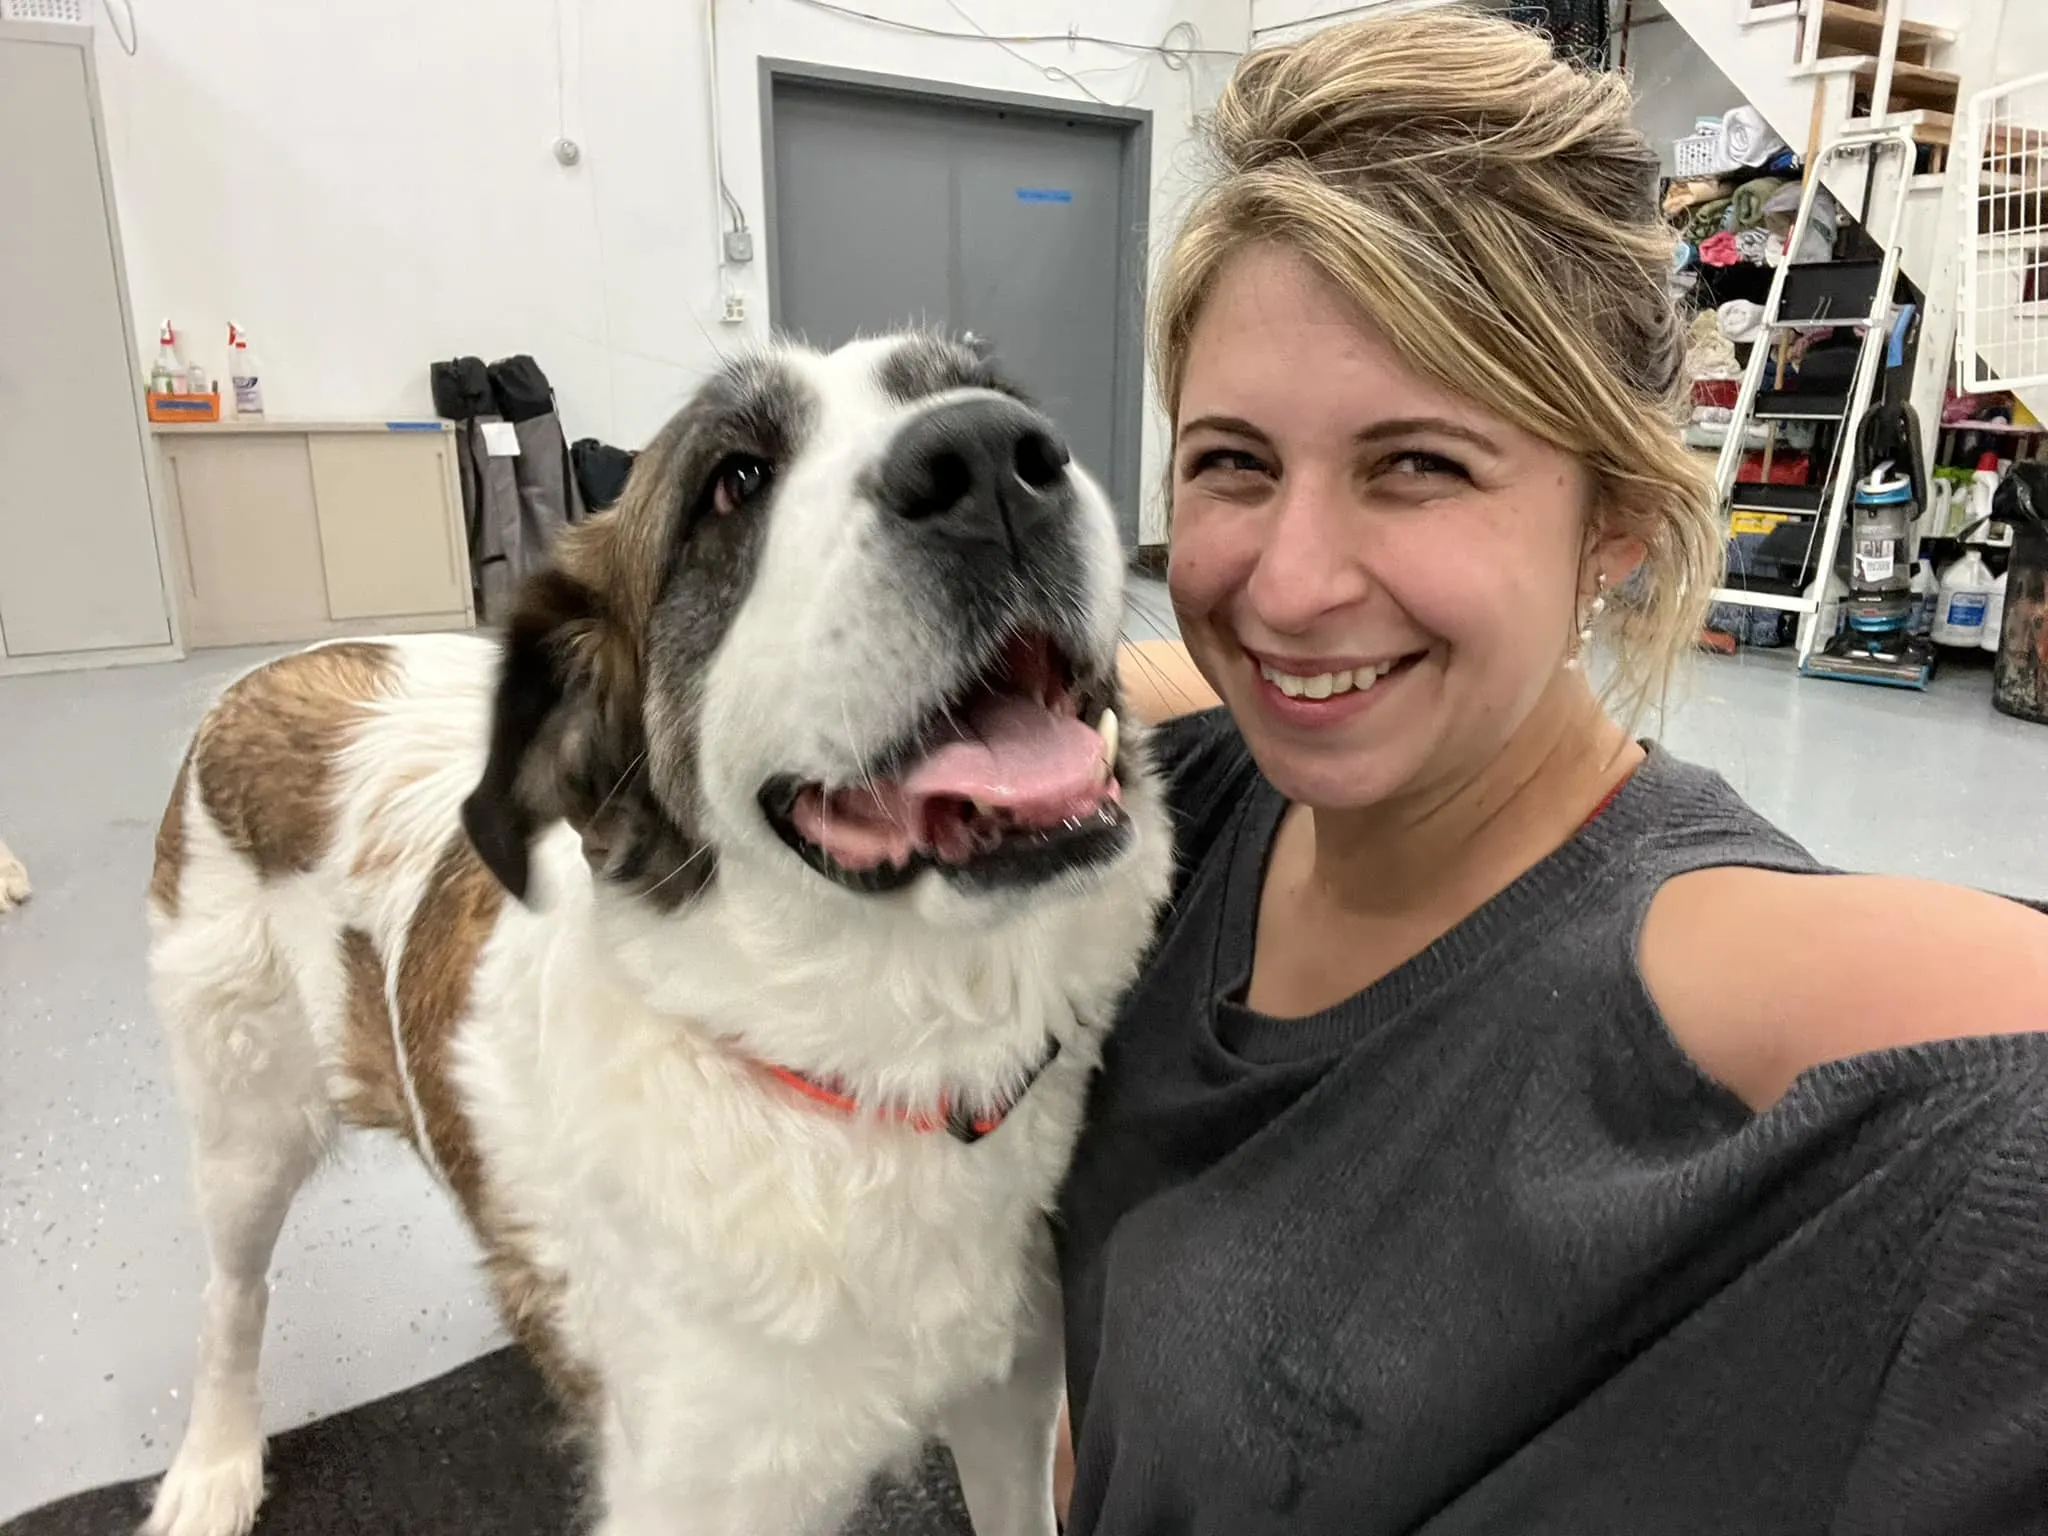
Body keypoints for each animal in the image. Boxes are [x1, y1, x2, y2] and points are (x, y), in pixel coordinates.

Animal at [140, 335, 1171, 1536]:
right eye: (736, 482)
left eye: (994, 394)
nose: (994, 457)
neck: (868, 1069)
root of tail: (261, 674)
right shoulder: (700, 1495)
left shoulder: (1009, 1400)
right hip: (244, 1122)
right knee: (233, 1291)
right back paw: (214, 1465)